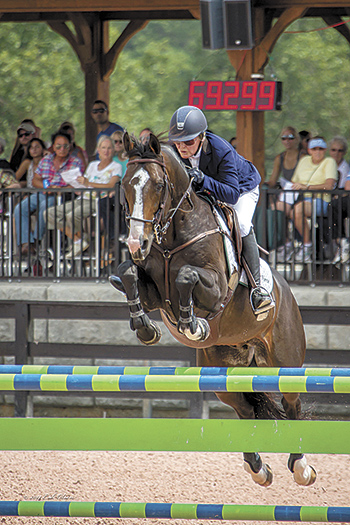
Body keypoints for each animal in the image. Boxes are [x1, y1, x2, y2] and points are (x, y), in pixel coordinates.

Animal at [110, 132, 318, 488]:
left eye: (158, 185)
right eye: (126, 184)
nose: (137, 243)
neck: (172, 234)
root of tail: (286, 291)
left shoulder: (216, 290)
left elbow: (186, 276)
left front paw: (193, 324)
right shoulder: (154, 294)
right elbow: (128, 274)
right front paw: (145, 328)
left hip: (285, 363)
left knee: (292, 403)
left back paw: (302, 467)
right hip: (222, 374)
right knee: (244, 409)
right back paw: (258, 469)